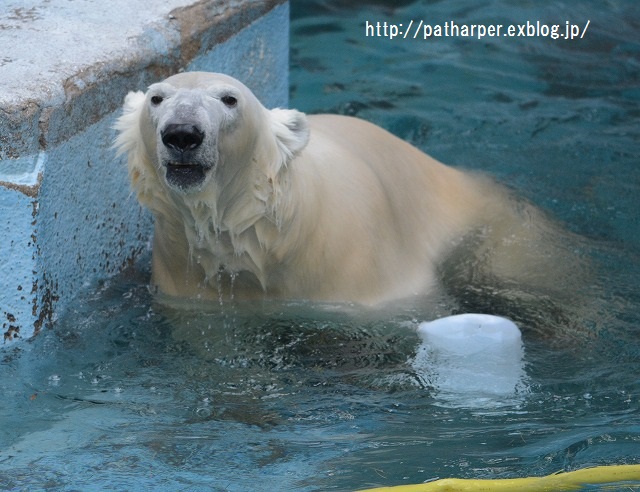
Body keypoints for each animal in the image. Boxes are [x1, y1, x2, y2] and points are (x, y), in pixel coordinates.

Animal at [114, 72, 576, 308]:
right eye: (157, 98)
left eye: (230, 99)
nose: (183, 133)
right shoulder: (189, 280)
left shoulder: (360, 274)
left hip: (502, 230)